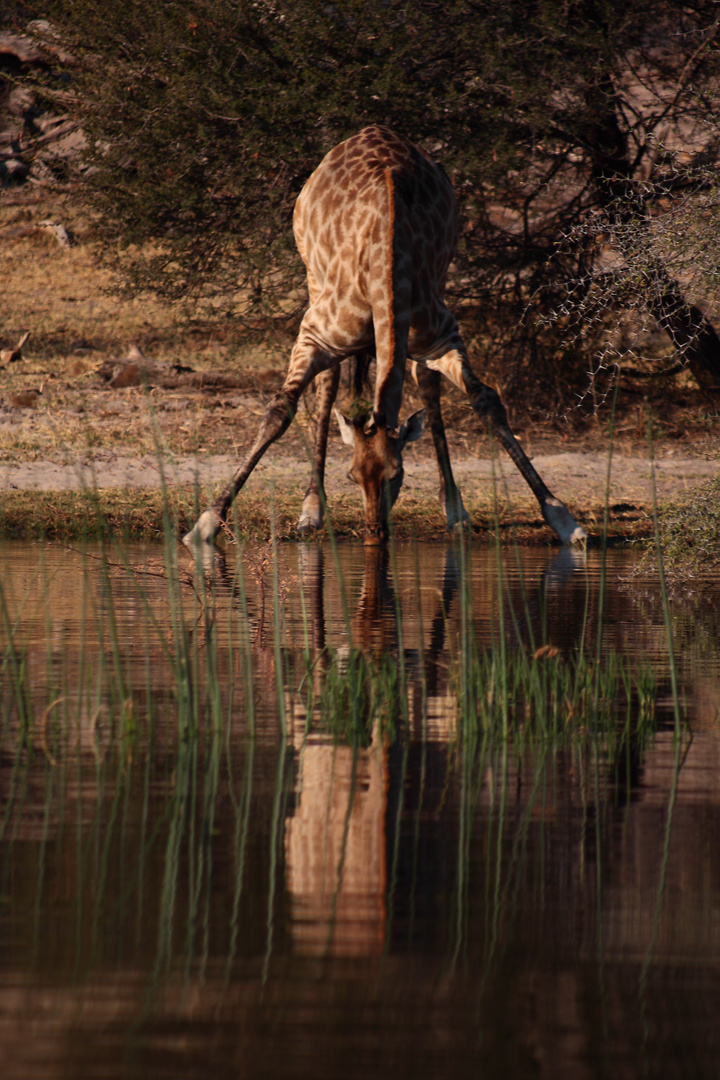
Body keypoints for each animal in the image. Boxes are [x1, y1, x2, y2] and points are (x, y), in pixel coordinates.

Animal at [183, 123, 587, 552]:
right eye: (351, 476)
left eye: (399, 474)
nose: (375, 533)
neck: (386, 263)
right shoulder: (316, 334)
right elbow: (280, 410)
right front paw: (205, 524)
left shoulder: (442, 336)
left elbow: (487, 401)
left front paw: (565, 520)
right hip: (312, 277)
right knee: (329, 386)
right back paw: (312, 510)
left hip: (439, 284)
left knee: (426, 384)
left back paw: (454, 509)